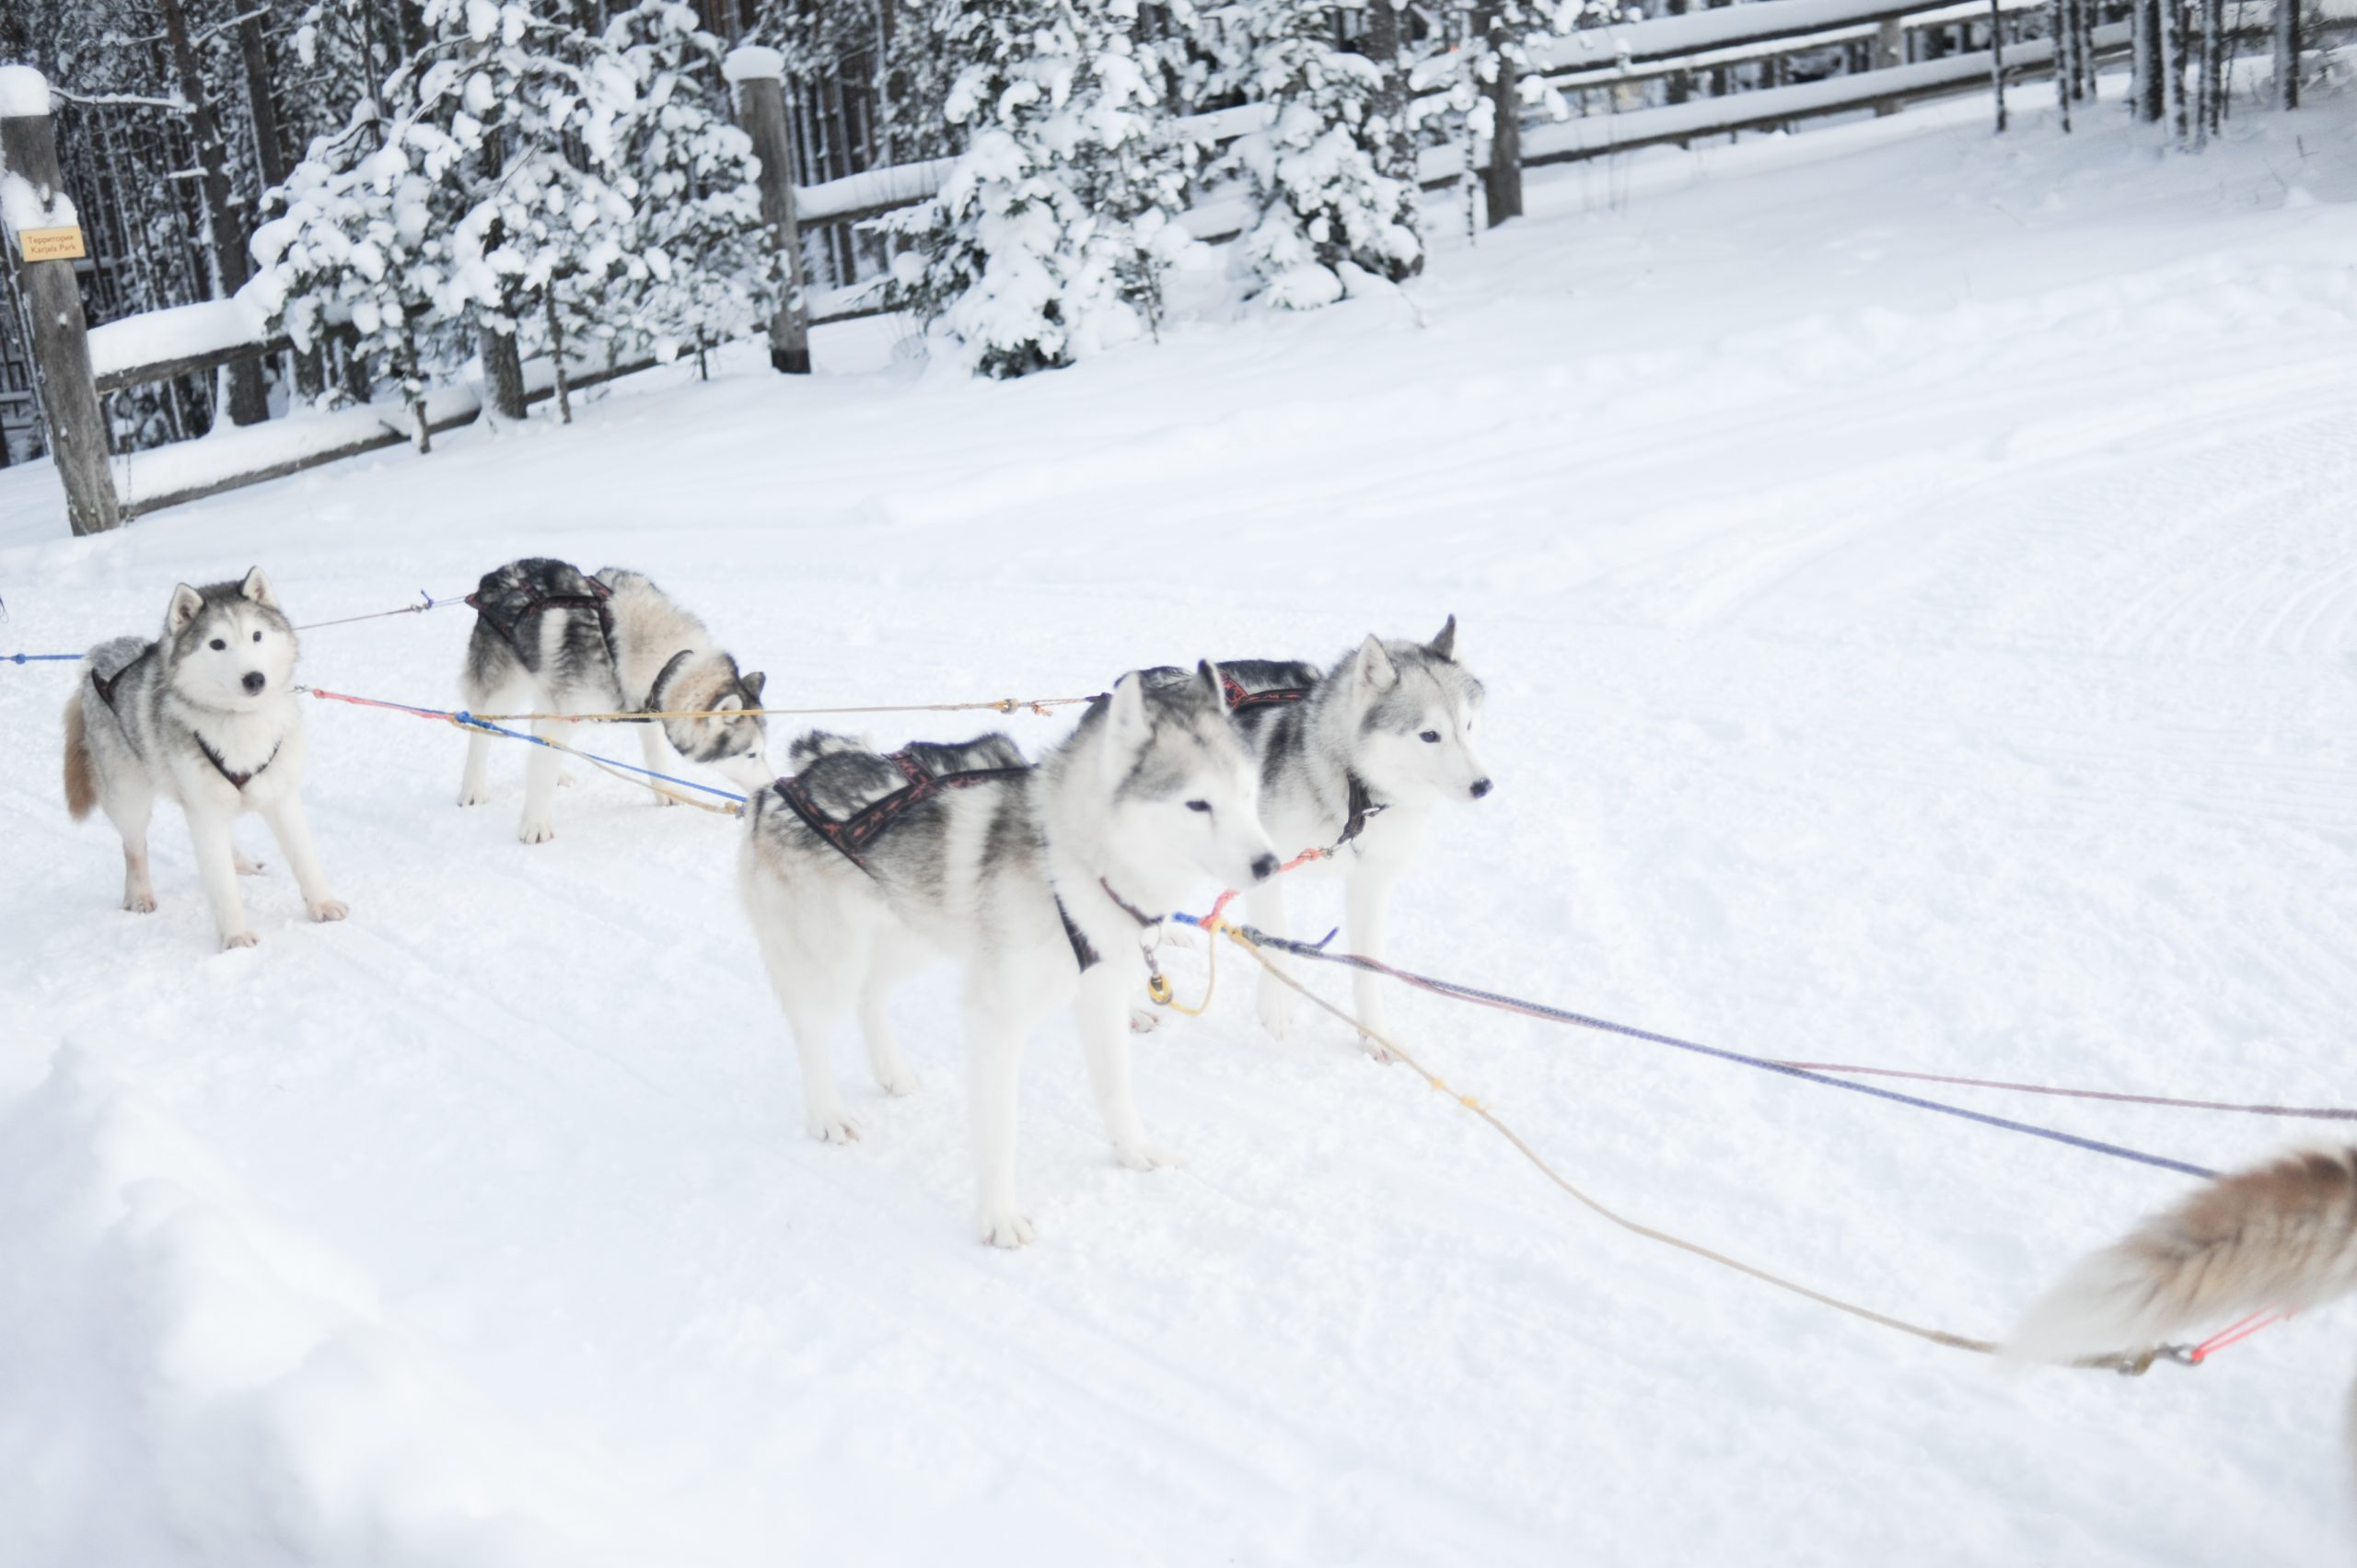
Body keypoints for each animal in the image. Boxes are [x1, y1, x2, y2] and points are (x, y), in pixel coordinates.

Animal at [61, 568, 343, 947]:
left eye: (257, 636)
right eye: (217, 644)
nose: (255, 678)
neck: (240, 721)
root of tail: (98, 657)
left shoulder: (280, 797)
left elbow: (304, 858)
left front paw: (322, 904)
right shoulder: (204, 810)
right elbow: (221, 887)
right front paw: (236, 938)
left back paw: (240, 862)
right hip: (129, 798)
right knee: (134, 847)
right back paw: (139, 895)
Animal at [464, 556, 777, 839]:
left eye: (764, 751)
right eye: (751, 754)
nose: (773, 787)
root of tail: (495, 576)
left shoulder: (649, 706)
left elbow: (656, 756)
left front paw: (667, 792)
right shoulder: (564, 714)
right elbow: (540, 776)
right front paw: (535, 825)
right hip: (504, 690)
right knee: (480, 731)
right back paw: (472, 788)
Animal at [739, 665, 1282, 1245]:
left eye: (1247, 793)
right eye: (1197, 804)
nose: (1270, 864)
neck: (1070, 865)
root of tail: (777, 789)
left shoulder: (1100, 996)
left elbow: (1115, 1089)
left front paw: (1134, 1153)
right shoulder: (996, 1020)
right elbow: (1000, 1132)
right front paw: (998, 1218)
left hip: (911, 936)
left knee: (870, 995)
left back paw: (892, 1072)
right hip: (832, 959)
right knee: (812, 1029)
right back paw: (827, 1114)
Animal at [1235, 617, 1489, 1047]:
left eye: (1468, 725)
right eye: (1429, 735)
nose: (1483, 786)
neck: (1355, 789)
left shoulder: (1370, 881)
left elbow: (1367, 962)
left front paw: (1374, 1032)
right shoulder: (1262, 869)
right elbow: (1276, 939)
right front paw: (1276, 1007)